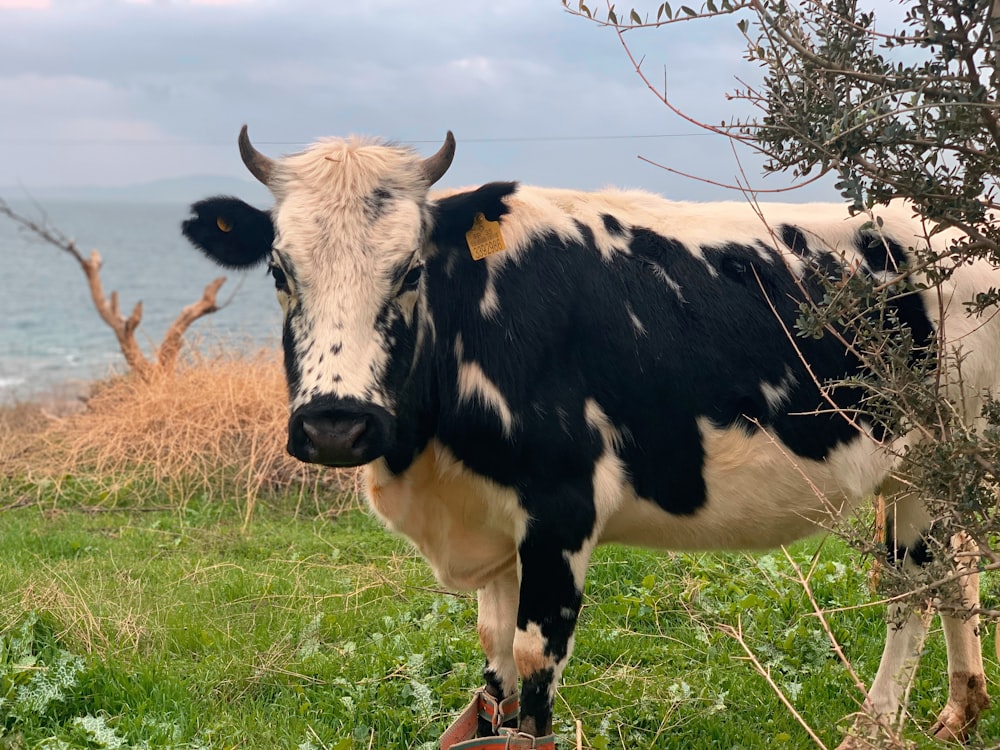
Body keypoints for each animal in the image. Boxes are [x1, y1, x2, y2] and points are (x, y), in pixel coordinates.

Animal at [184, 129, 996, 750]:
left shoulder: (561, 507)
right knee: (951, 570)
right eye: (280, 269)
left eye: (410, 270)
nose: (335, 423)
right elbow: (495, 668)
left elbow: (532, 666)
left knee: (914, 585)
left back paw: (873, 729)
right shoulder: (494, 519)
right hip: (924, 469)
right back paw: (960, 709)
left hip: (941, 450)